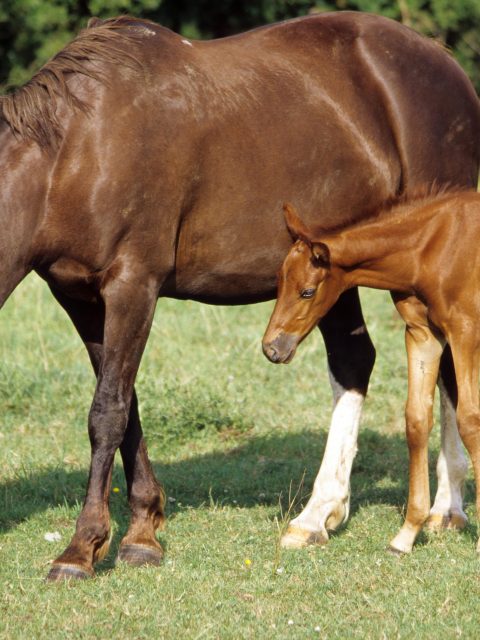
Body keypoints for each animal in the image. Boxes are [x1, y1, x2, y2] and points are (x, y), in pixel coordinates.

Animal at [263, 195, 480, 554]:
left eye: (307, 291)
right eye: (278, 282)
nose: (272, 348)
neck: (432, 248)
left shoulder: (465, 332)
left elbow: (469, 419)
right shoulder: (422, 334)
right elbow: (416, 420)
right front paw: (406, 535)